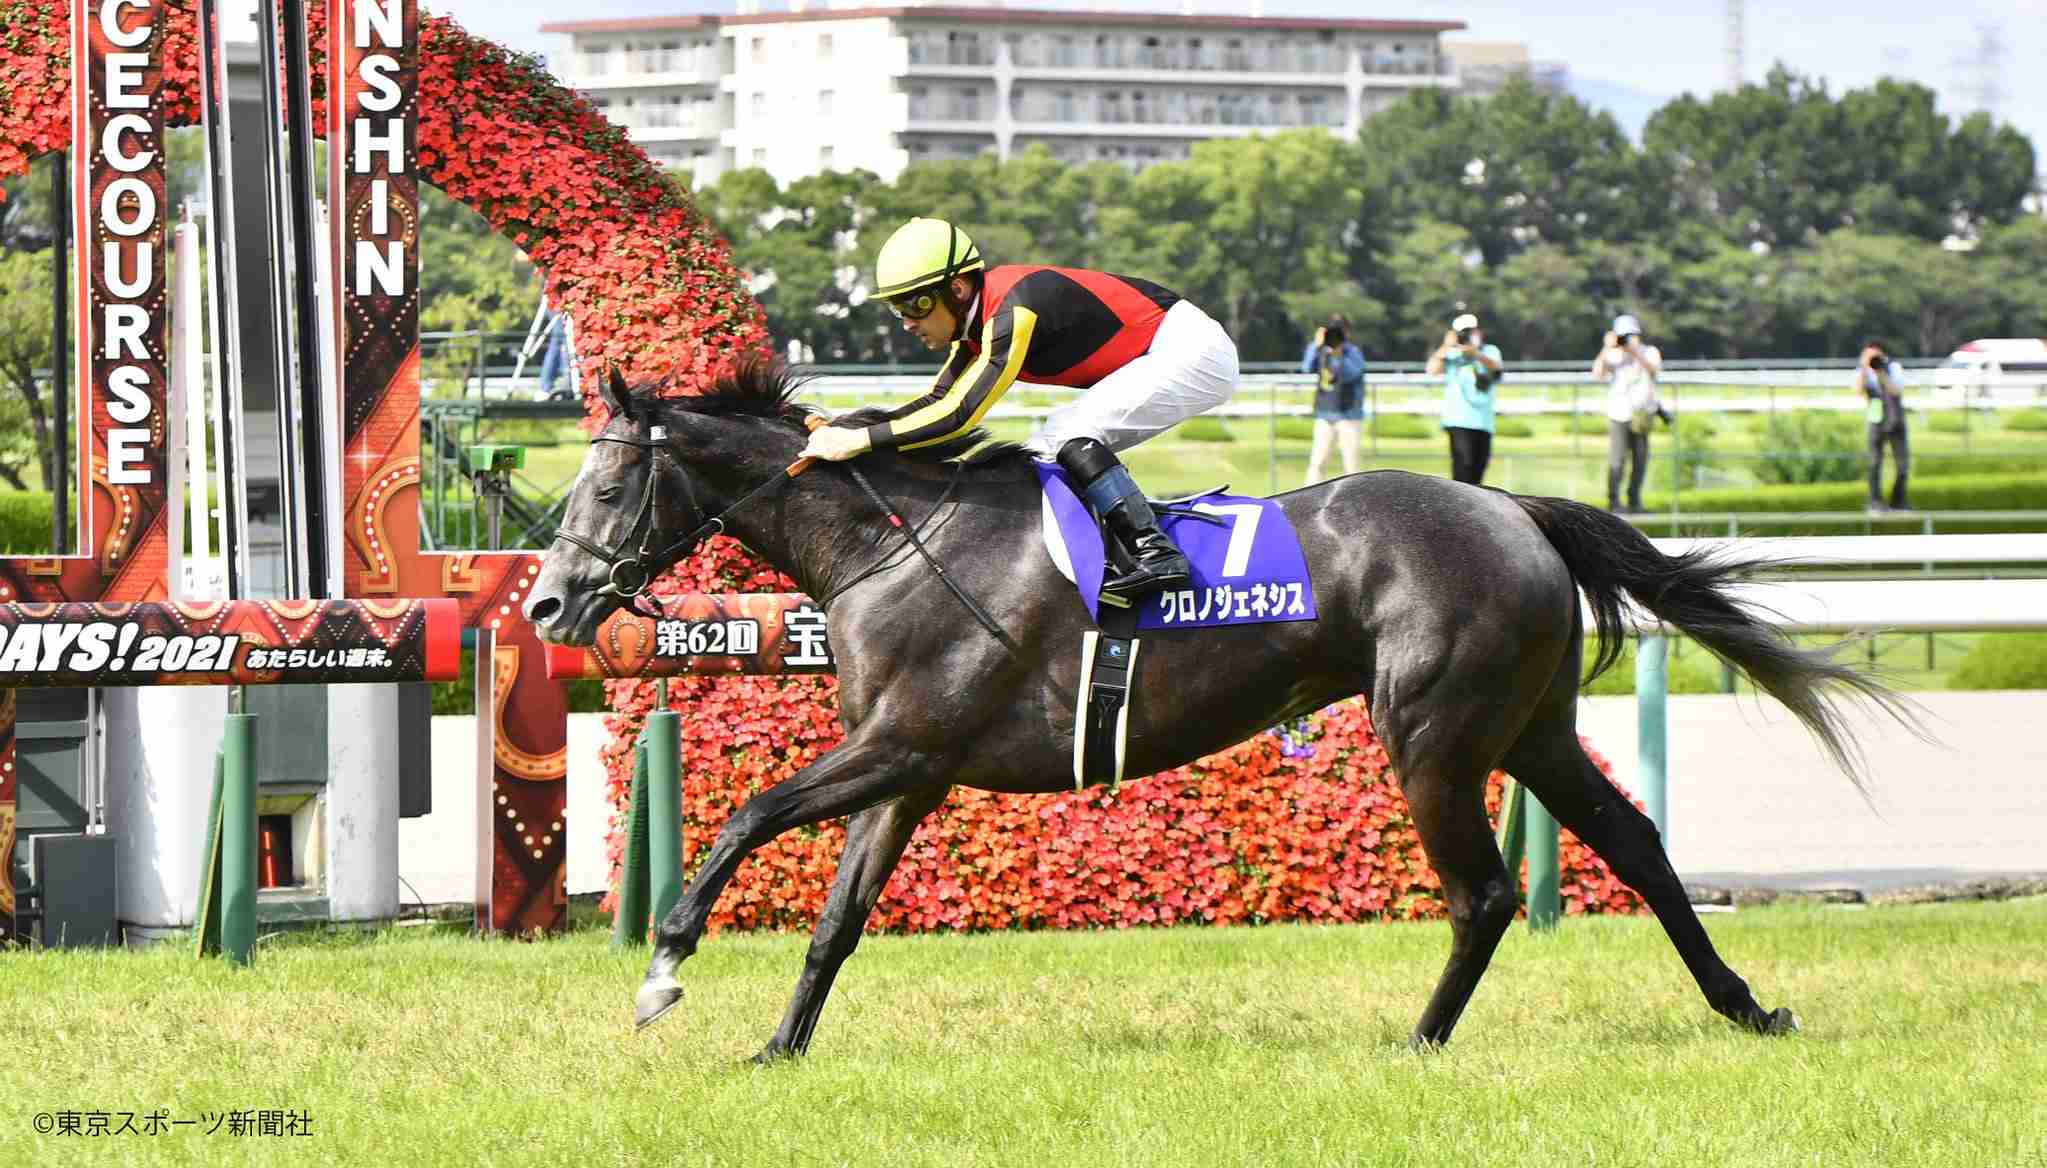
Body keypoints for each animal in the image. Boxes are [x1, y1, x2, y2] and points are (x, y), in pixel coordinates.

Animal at [523, 359, 1904, 1062]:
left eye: (610, 485)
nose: (545, 602)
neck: (890, 543)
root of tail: (1511, 506)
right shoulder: (908, 768)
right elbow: (835, 923)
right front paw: (777, 1049)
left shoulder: (901, 742)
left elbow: (747, 812)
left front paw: (663, 966)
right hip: (1532, 728)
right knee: (1634, 846)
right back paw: (1744, 1006)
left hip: (1433, 737)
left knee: (1484, 892)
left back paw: (1418, 1040)